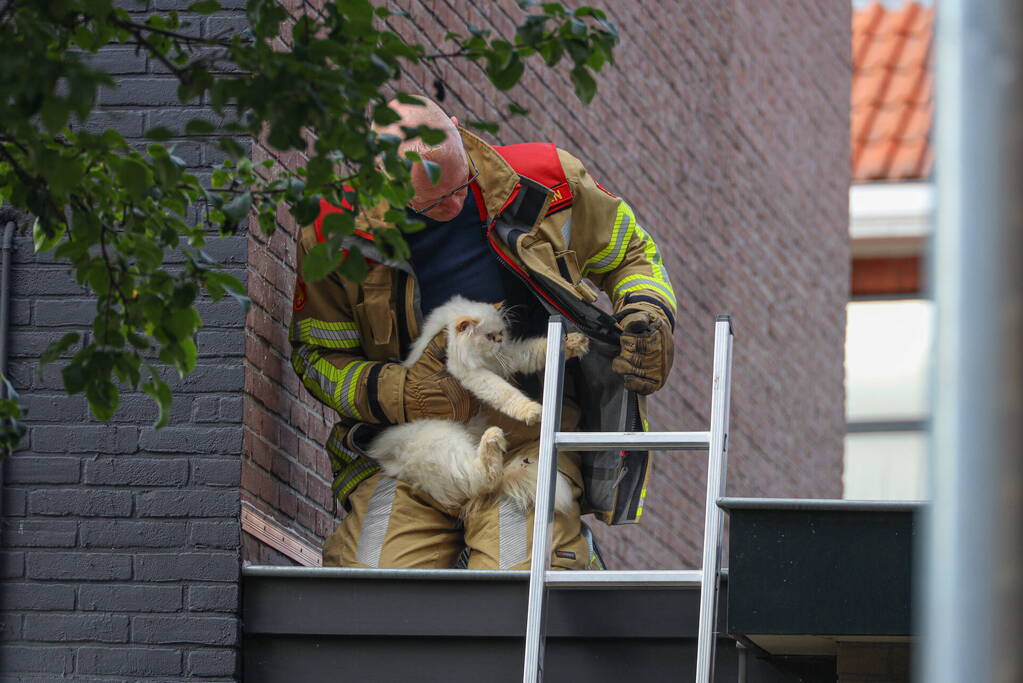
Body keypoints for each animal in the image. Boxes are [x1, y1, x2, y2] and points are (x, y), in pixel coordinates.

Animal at [368, 294, 593, 517]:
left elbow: (536, 351)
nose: (500, 341)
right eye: (489, 336)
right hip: (445, 441)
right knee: (480, 480)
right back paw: (493, 438)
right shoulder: (471, 374)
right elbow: (505, 393)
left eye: (501, 333)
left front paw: (574, 342)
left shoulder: (506, 356)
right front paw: (531, 411)